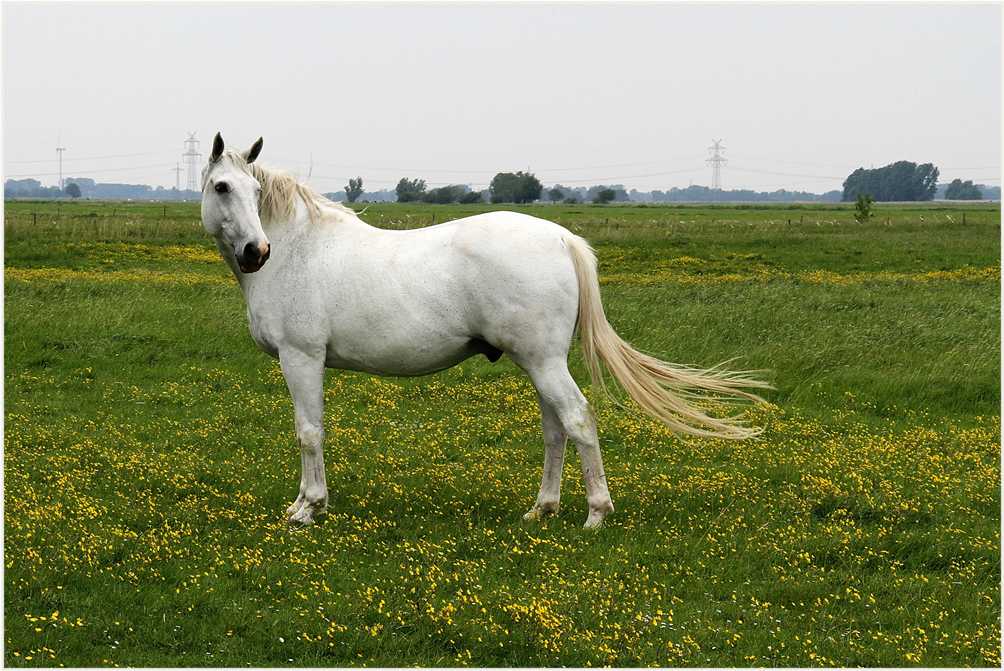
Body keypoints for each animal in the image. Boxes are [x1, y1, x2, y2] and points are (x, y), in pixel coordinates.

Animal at [203, 132, 767, 530]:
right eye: (222, 187)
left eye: (255, 190)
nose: (257, 252)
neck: (300, 250)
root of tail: (562, 239)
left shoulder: (301, 358)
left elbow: (309, 431)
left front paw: (307, 508)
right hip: (542, 363)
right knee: (555, 429)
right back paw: (542, 509)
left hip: (543, 362)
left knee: (578, 420)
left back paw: (596, 514)